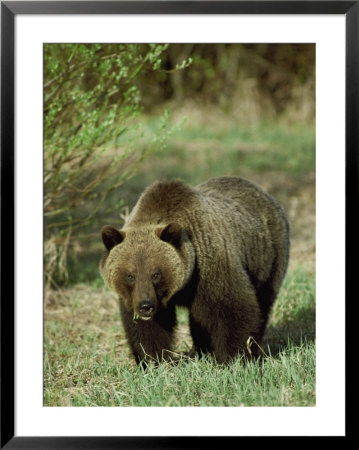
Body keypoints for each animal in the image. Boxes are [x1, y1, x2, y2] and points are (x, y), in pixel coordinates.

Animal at [100, 176, 292, 366]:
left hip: (267, 258)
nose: (145, 306)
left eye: (156, 274)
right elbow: (147, 328)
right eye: (130, 275)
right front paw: (153, 360)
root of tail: (262, 191)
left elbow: (233, 310)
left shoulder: (209, 269)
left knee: (263, 302)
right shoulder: (137, 297)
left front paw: (236, 358)